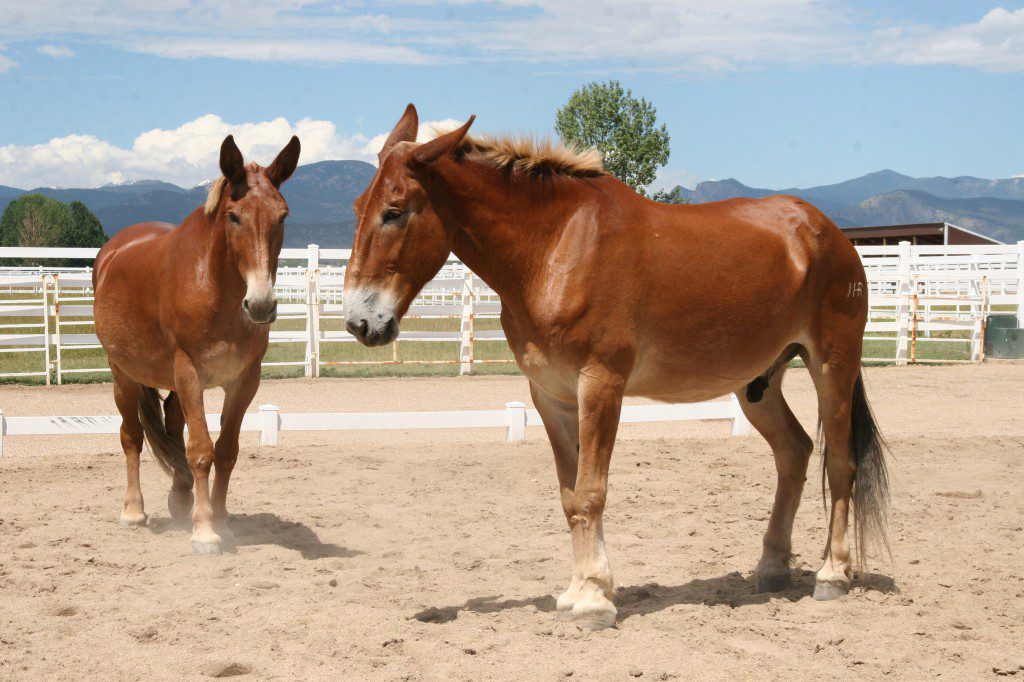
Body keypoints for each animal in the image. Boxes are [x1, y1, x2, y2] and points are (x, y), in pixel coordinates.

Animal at [92, 134, 301, 552]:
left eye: (282, 216)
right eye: (233, 216)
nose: (261, 305)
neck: (217, 290)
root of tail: (112, 251)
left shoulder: (244, 380)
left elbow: (226, 451)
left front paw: (220, 521)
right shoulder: (190, 372)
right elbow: (202, 451)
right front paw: (205, 531)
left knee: (172, 426)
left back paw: (180, 497)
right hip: (122, 372)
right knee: (131, 436)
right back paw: (134, 511)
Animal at [346, 103, 888, 630]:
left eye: (394, 212)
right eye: (358, 207)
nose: (359, 321)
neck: (556, 247)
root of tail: (830, 235)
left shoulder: (600, 386)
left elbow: (591, 492)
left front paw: (593, 600)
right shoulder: (551, 395)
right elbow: (570, 497)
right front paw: (576, 592)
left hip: (832, 366)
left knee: (840, 464)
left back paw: (832, 574)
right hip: (758, 383)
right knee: (794, 453)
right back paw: (771, 568)